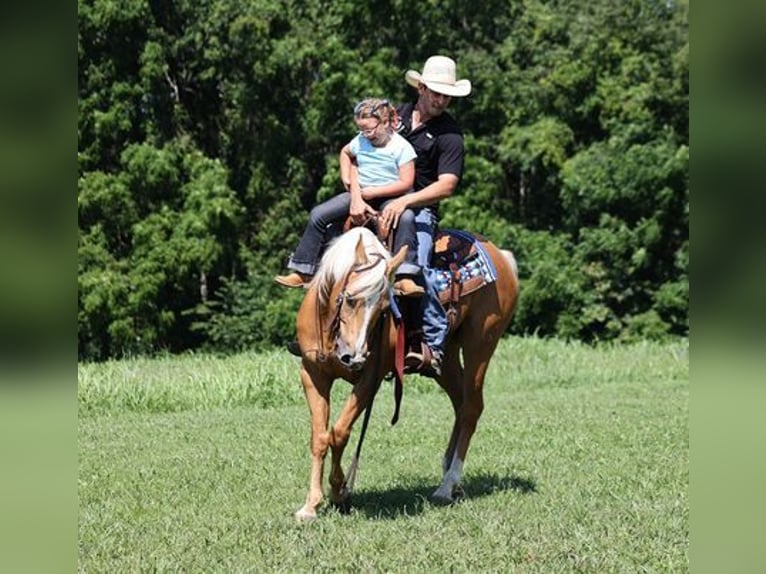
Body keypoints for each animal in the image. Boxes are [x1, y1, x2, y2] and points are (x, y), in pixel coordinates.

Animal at [292, 227, 520, 524]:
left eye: (384, 309)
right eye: (350, 299)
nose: (355, 357)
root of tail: (502, 257)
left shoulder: (370, 379)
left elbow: (339, 433)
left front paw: (339, 492)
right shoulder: (312, 374)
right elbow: (319, 437)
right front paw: (311, 505)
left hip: (480, 344)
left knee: (471, 407)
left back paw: (447, 485)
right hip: (446, 357)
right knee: (460, 404)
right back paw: (451, 479)